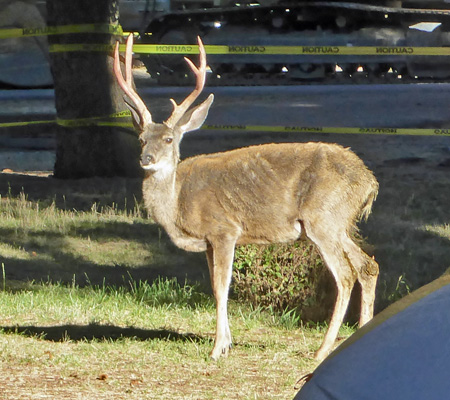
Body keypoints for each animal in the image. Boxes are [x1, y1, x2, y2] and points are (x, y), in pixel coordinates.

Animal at [113, 33, 380, 360]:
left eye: (168, 139)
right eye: (141, 139)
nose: (146, 159)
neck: (178, 204)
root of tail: (369, 182)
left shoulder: (224, 229)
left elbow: (222, 286)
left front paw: (217, 349)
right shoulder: (209, 242)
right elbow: (215, 286)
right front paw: (227, 343)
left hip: (323, 219)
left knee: (345, 275)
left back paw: (322, 350)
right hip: (339, 223)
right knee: (368, 265)